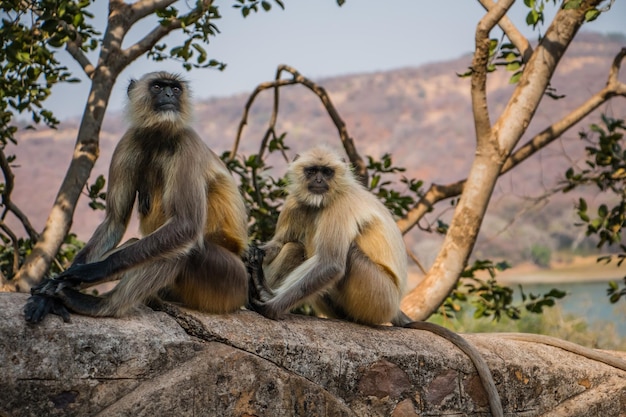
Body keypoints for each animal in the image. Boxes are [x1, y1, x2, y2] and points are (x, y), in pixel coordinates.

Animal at [24, 70, 249, 322]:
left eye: (175, 88)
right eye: (158, 87)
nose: (170, 95)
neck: (158, 136)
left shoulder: (187, 144)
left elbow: (187, 224)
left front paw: (93, 271)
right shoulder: (127, 142)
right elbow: (115, 221)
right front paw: (54, 285)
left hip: (230, 284)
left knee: (185, 249)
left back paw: (98, 305)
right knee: (143, 245)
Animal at [247, 145, 502, 414]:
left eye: (326, 172)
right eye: (312, 171)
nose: (318, 181)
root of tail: (395, 305)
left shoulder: (340, 204)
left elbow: (331, 264)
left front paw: (271, 307)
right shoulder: (295, 201)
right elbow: (279, 242)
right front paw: (253, 254)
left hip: (377, 295)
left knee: (343, 252)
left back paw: (265, 291)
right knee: (295, 245)